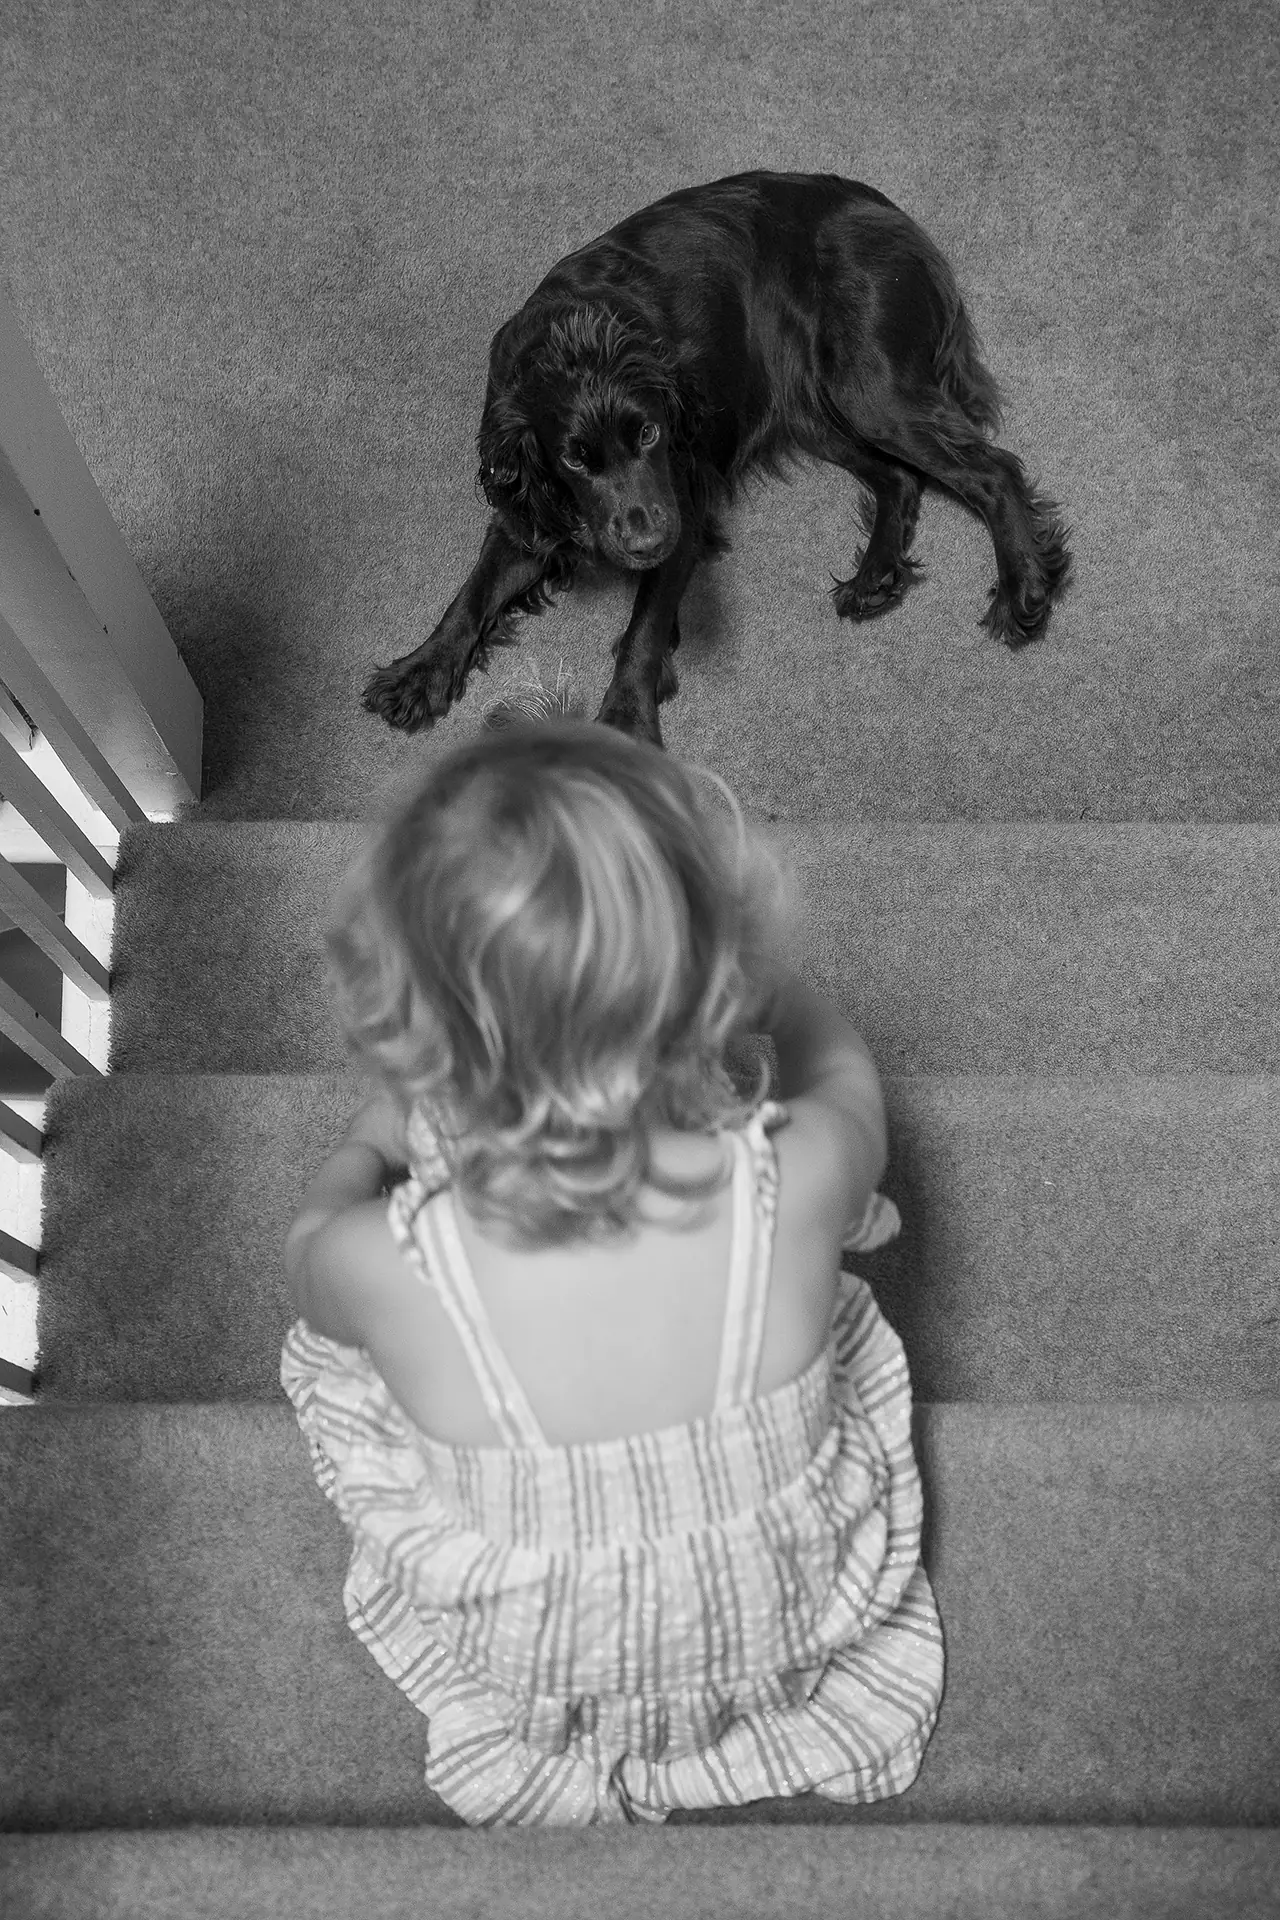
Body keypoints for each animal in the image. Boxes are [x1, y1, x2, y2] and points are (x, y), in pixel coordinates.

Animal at [364, 170, 1071, 746]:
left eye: (650, 434)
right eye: (574, 460)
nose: (644, 542)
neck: (581, 336)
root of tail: (886, 209)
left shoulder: (682, 507)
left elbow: (643, 630)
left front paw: (625, 721)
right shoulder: (531, 503)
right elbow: (474, 592)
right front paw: (420, 672)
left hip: (864, 385)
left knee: (992, 470)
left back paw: (1024, 587)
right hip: (814, 401)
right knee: (899, 475)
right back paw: (875, 577)